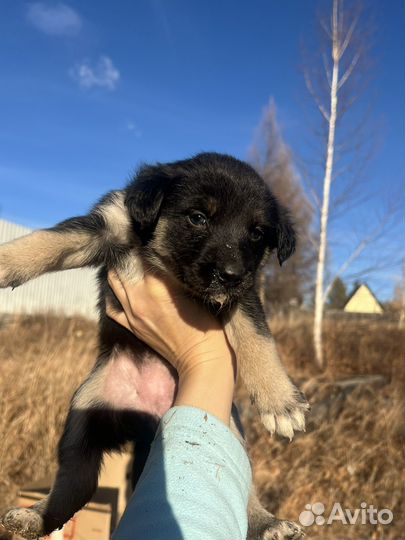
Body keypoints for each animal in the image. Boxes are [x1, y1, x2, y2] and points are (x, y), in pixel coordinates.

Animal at [0, 152, 306, 540]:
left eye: (256, 233)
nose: (230, 275)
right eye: (198, 217)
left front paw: (279, 401)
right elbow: (47, 240)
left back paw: (268, 523)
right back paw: (34, 517)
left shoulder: (244, 293)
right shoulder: (106, 225)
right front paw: (5, 261)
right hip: (83, 414)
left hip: (229, 429)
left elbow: (257, 337)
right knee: (76, 482)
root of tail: (148, 419)